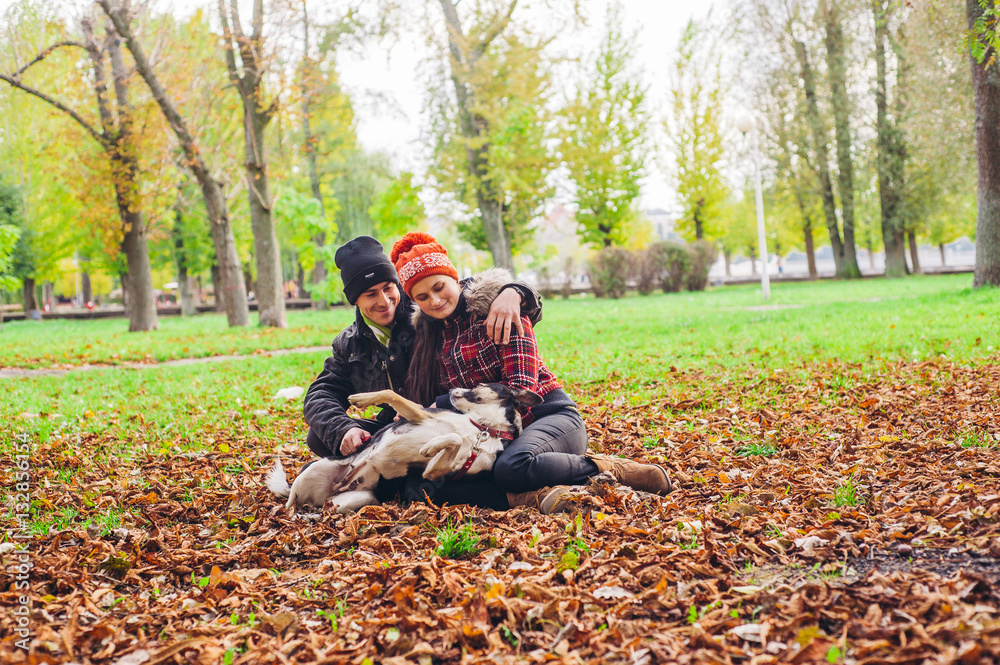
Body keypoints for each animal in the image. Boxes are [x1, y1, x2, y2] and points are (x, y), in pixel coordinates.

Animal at [266, 384, 540, 512]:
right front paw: (362, 398)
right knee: (289, 503)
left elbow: (453, 439)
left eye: (480, 384)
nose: (451, 389)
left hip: (355, 499)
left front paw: (431, 446)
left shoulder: (435, 471)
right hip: (313, 472)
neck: (485, 429)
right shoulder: (420, 414)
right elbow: (392, 394)